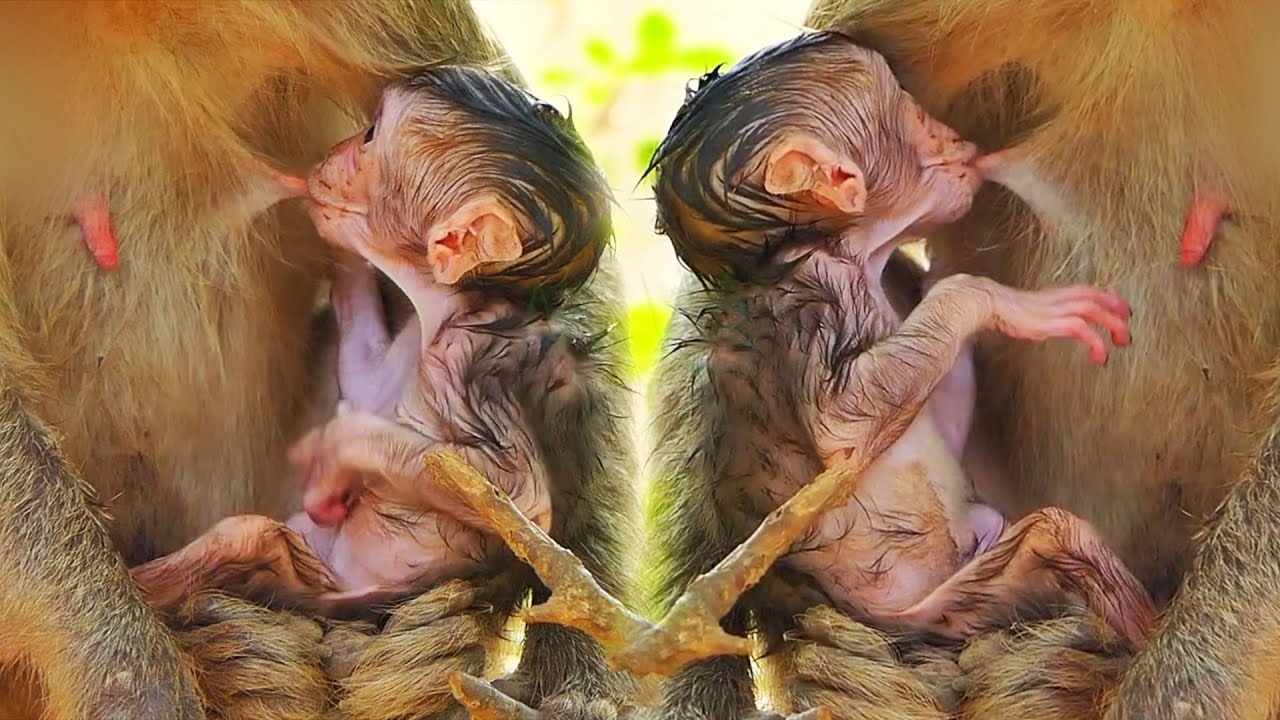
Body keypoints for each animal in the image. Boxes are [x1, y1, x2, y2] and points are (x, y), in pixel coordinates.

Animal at [639, 32, 1141, 720]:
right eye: (916, 122)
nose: (961, 138)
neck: (848, 251)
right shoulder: (818, 296)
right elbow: (844, 426)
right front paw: (997, 300)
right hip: (949, 612)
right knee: (1058, 540)